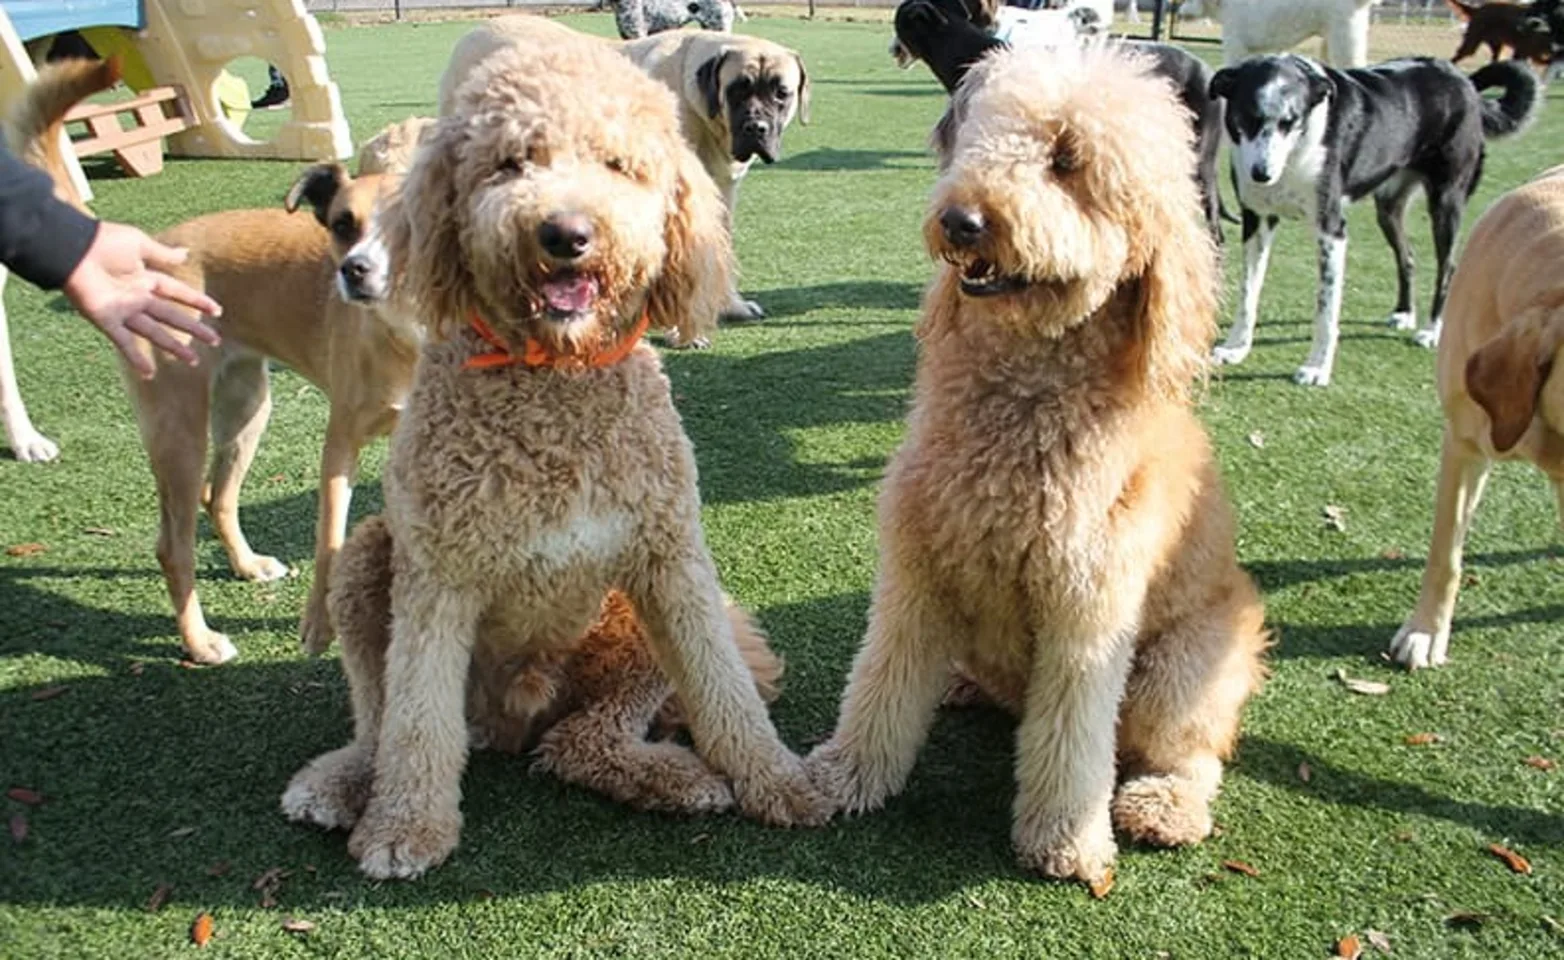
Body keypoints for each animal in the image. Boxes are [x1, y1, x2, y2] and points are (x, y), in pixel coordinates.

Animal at [287, 16, 838, 888]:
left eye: (619, 165)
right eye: (511, 162)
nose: (566, 233)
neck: (556, 381)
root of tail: (517, 714)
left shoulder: (673, 564)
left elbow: (727, 694)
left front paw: (779, 782)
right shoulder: (436, 582)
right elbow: (416, 725)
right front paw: (407, 827)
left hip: (629, 626)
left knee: (582, 741)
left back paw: (670, 776)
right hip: (370, 560)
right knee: (382, 721)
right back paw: (343, 782)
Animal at [807, 45, 1269, 888]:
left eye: (1068, 162)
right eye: (983, 139)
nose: (960, 220)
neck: (1018, 404)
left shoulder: (1088, 617)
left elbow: (1073, 741)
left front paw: (1065, 839)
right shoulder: (915, 578)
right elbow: (880, 688)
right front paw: (841, 776)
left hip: (1187, 665)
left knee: (1193, 752)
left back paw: (1165, 806)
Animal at [1207, 56, 1538, 386]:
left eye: (1290, 121)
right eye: (1248, 117)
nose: (1261, 173)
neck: (1296, 153)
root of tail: (1464, 82)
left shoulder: (1331, 231)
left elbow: (1326, 308)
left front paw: (1317, 368)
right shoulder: (1257, 221)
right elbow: (1248, 293)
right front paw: (1236, 348)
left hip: (1446, 201)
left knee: (1448, 267)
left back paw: (1432, 330)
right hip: (1389, 208)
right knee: (1407, 256)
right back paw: (1404, 313)